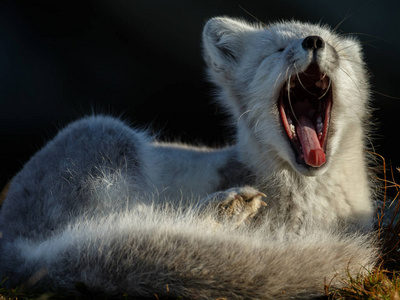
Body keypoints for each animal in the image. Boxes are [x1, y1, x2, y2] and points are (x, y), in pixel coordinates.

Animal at [0, 17, 376, 298]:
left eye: (336, 50)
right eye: (278, 49)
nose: (313, 42)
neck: (307, 208)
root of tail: (13, 252)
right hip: (107, 137)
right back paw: (223, 210)